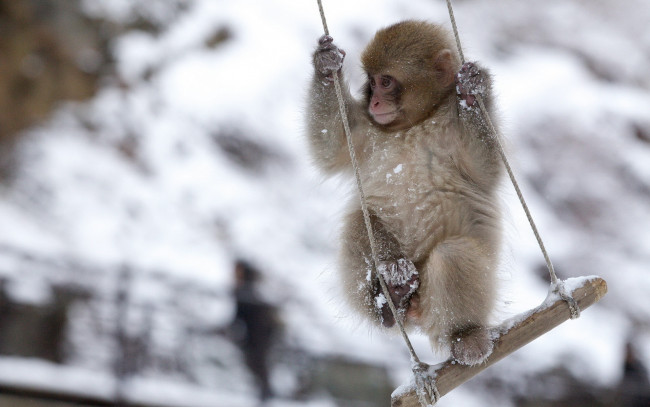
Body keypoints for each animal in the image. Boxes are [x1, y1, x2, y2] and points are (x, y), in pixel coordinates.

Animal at [306, 20, 503, 366]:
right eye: (371, 83)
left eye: (386, 82)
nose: (375, 102)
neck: (416, 123)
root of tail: (418, 316)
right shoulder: (369, 131)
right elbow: (330, 146)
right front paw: (326, 66)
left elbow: (486, 171)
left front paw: (471, 91)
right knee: (360, 221)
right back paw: (391, 299)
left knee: (452, 255)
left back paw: (465, 335)